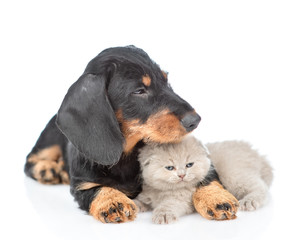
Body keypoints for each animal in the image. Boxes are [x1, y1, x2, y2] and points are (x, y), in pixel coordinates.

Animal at [24, 46, 239, 223]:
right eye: (139, 91)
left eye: (166, 80)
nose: (195, 120)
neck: (125, 152)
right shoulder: (81, 183)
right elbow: (96, 189)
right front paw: (112, 201)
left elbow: (206, 174)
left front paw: (216, 197)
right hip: (49, 139)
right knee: (30, 161)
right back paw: (49, 169)